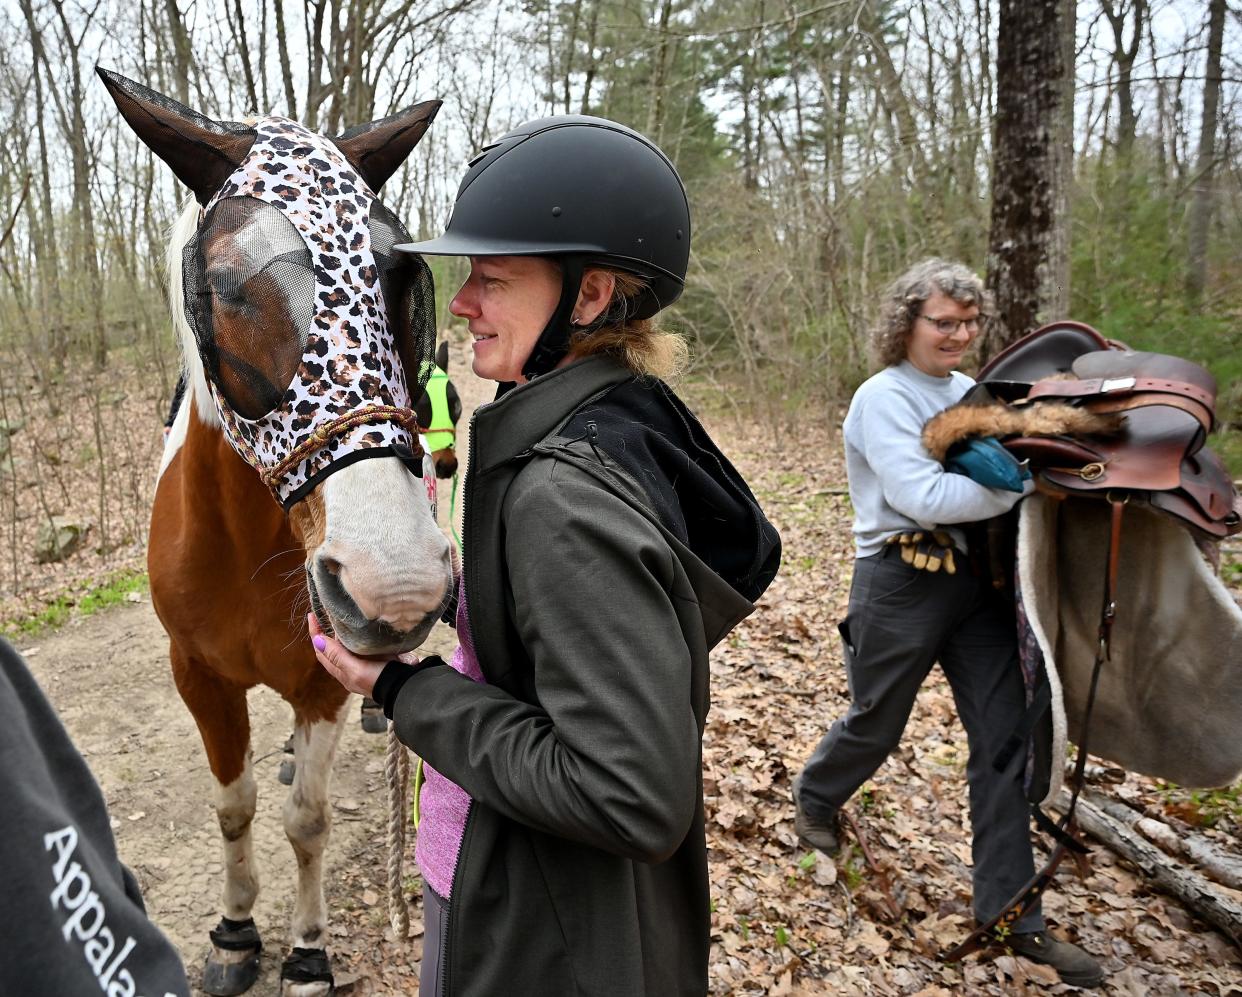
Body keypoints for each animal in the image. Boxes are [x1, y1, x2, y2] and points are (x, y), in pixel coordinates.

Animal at [98, 66, 457, 993]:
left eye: (401, 276)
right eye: (225, 285)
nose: (394, 582)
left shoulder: (322, 682)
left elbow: (307, 821)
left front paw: (304, 949)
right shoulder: (198, 676)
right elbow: (234, 806)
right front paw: (235, 931)